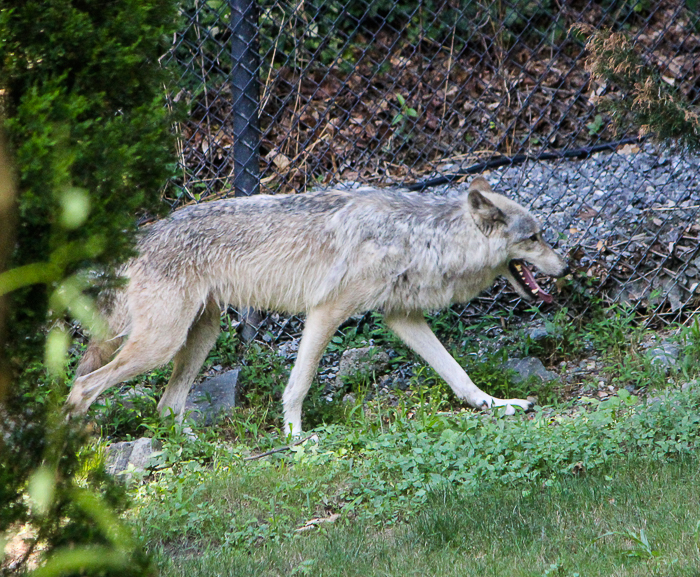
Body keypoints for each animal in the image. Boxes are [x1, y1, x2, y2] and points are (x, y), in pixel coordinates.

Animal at [65, 178, 568, 434]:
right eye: (534, 238)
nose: (565, 268)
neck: (420, 236)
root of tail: (141, 237)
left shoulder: (401, 318)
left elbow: (457, 374)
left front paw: (495, 404)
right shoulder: (325, 312)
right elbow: (299, 384)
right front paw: (295, 440)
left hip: (199, 337)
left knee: (166, 407)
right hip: (161, 345)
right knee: (83, 386)